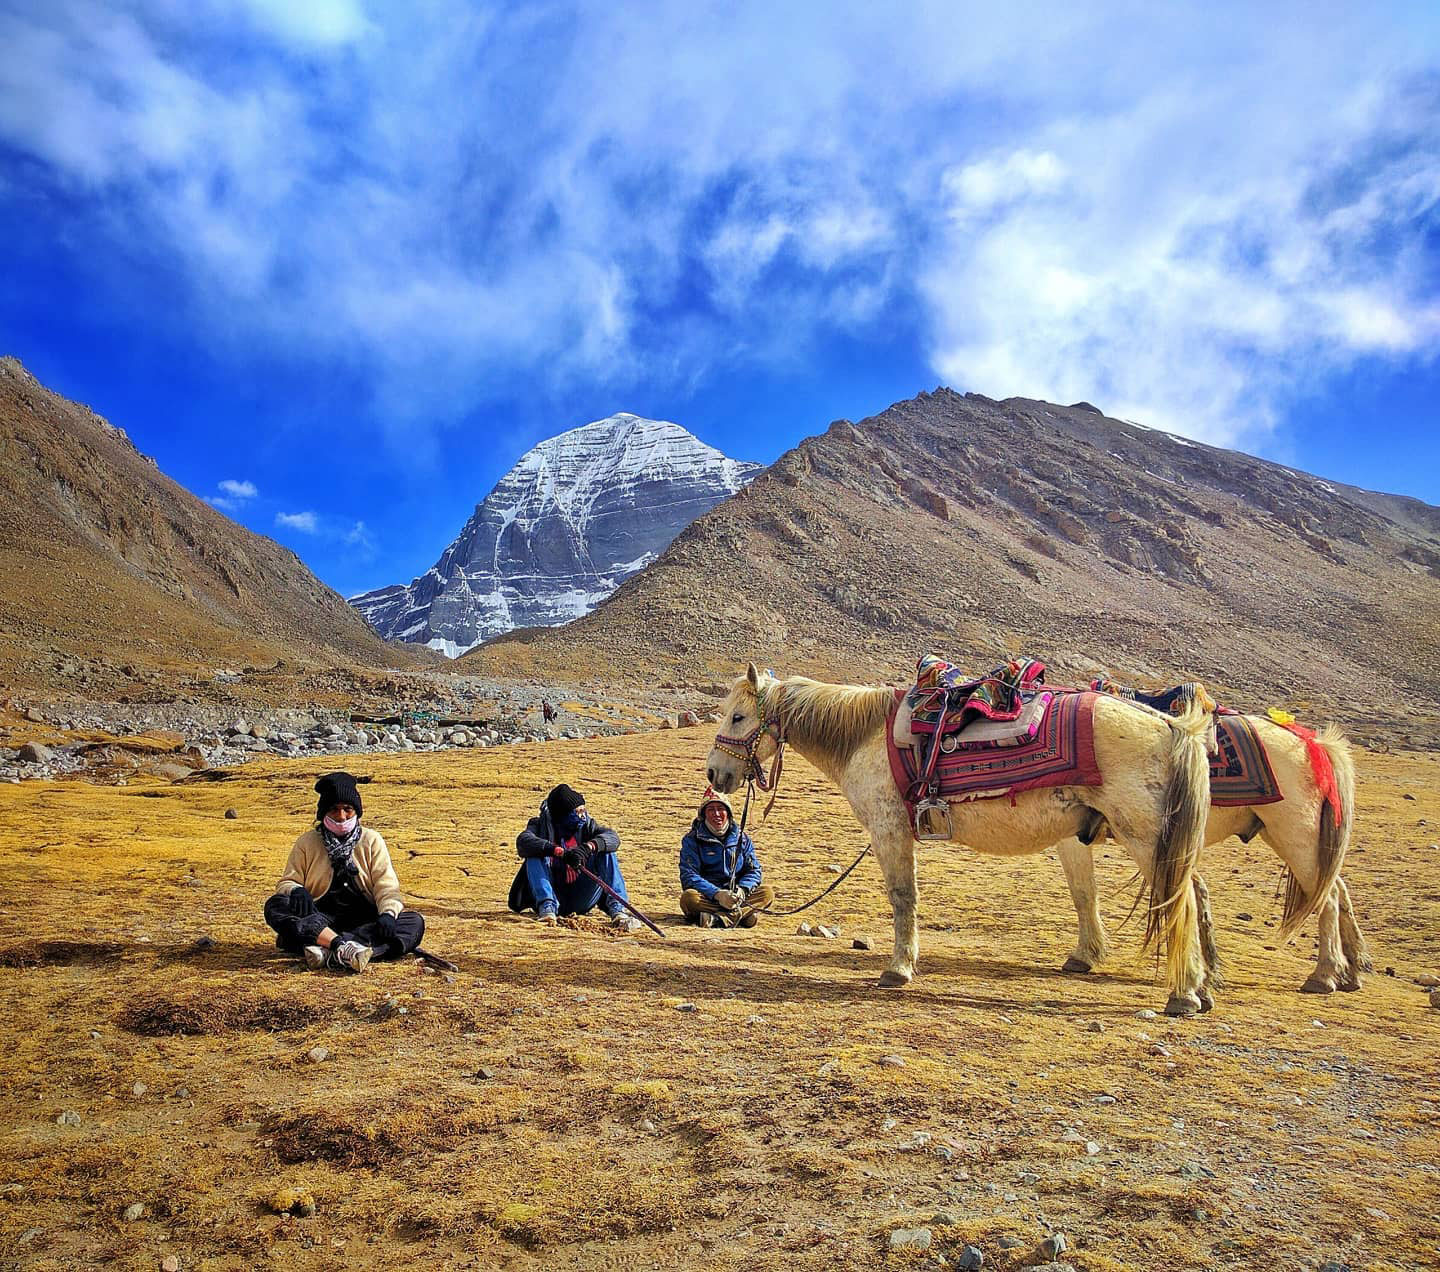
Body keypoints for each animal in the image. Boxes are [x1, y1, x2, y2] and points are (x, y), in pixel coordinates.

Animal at [706, 664, 1217, 1016]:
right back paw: (1197, 985)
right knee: (1192, 894)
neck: (863, 736)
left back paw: (1185, 993)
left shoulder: (890, 830)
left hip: (1146, 838)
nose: (715, 774)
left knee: (1181, 901)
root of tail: (1174, 728)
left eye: (738, 717)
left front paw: (898, 969)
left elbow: (903, 897)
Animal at [1051, 713, 1364, 994]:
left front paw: (1084, 955)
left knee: (1328, 897)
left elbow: (1083, 893)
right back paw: (1353, 969)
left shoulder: (1073, 837)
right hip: (1301, 844)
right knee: (1338, 888)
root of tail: (1315, 744)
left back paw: (1324, 975)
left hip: (1296, 840)